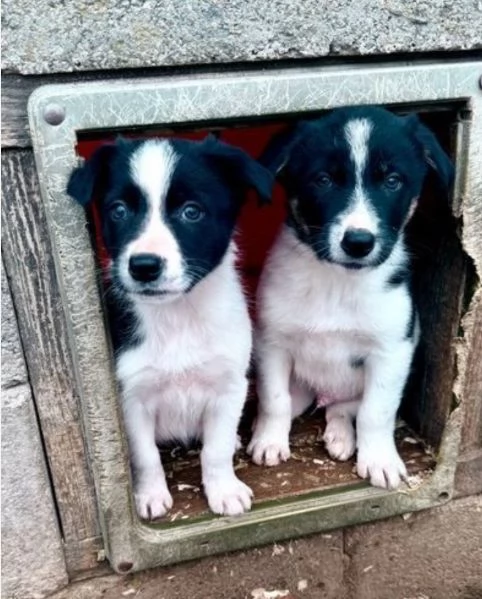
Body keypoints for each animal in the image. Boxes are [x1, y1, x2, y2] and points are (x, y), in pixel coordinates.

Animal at [67, 134, 272, 516]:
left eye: (191, 212)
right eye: (119, 210)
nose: (144, 266)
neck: (178, 315)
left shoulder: (229, 386)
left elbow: (216, 449)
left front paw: (224, 490)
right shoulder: (132, 398)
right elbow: (145, 456)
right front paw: (149, 497)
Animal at [247, 108, 454, 490]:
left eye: (392, 181)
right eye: (323, 180)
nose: (358, 242)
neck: (338, 282)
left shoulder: (392, 352)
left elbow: (377, 412)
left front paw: (380, 461)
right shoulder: (272, 343)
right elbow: (273, 400)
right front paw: (268, 441)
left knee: (344, 409)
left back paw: (340, 436)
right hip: (303, 387)